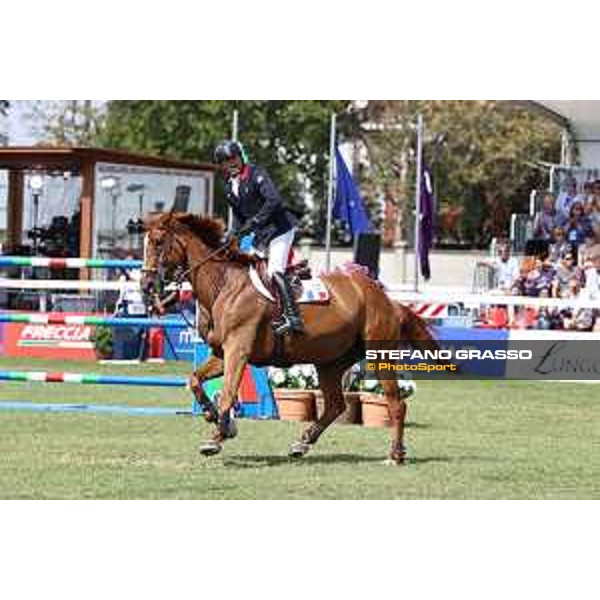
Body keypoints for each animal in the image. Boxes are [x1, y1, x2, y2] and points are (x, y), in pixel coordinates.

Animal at [143, 213, 438, 466]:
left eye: (158, 242)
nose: (146, 286)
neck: (223, 284)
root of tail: (386, 299)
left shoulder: (238, 350)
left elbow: (227, 393)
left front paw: (216, 437)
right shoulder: (221, 354)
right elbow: (194, 380)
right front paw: (212, 414)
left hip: (379, 355)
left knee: (396, 403)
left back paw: (395, 454)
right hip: (330, 361)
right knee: (335, 405)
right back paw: (302, 443)